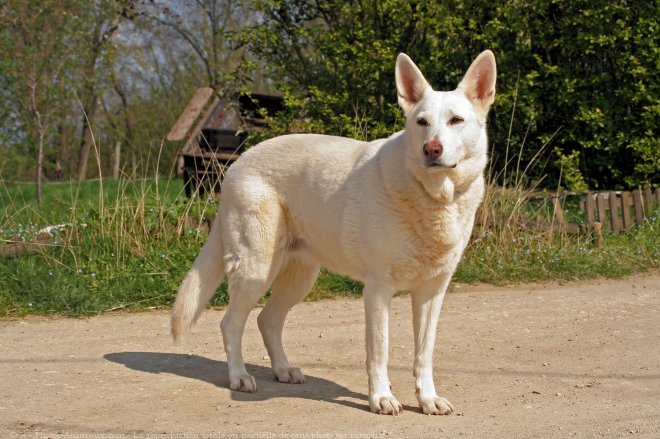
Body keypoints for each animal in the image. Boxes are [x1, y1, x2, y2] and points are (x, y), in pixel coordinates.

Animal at [170, 50, 496, 416]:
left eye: (456, 120)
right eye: (421, 122)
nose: (432, 149)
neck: (434, 197)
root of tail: (236, 164)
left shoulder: (431, 293)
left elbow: (423, 354)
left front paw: (427, 399)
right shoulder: (378, 291)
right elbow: (379, 351)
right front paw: (381, 398)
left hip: (299, 279)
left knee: (267, 321)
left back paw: (283, 370)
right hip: (256, 270)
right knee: (231, 323)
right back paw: (239, 377)